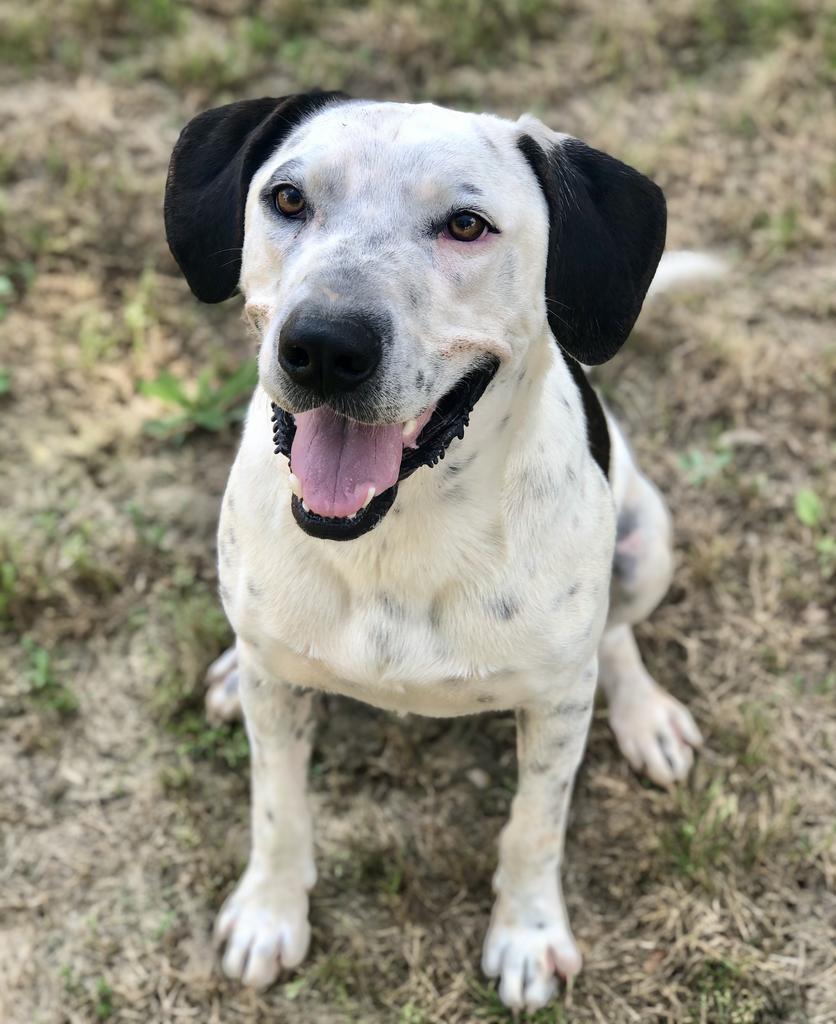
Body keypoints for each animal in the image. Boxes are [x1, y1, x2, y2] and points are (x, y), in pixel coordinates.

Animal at [164, 90, 713, 1015]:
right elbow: (277, 801)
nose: (325, 344)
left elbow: (536, 825)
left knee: (616, 636)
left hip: (649, 543)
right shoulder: (280, 710)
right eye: (287, 199)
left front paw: (527, 934)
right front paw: (271, 911)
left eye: (466, 225)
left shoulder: (556, 709)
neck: (397, 531)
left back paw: (645, 716)